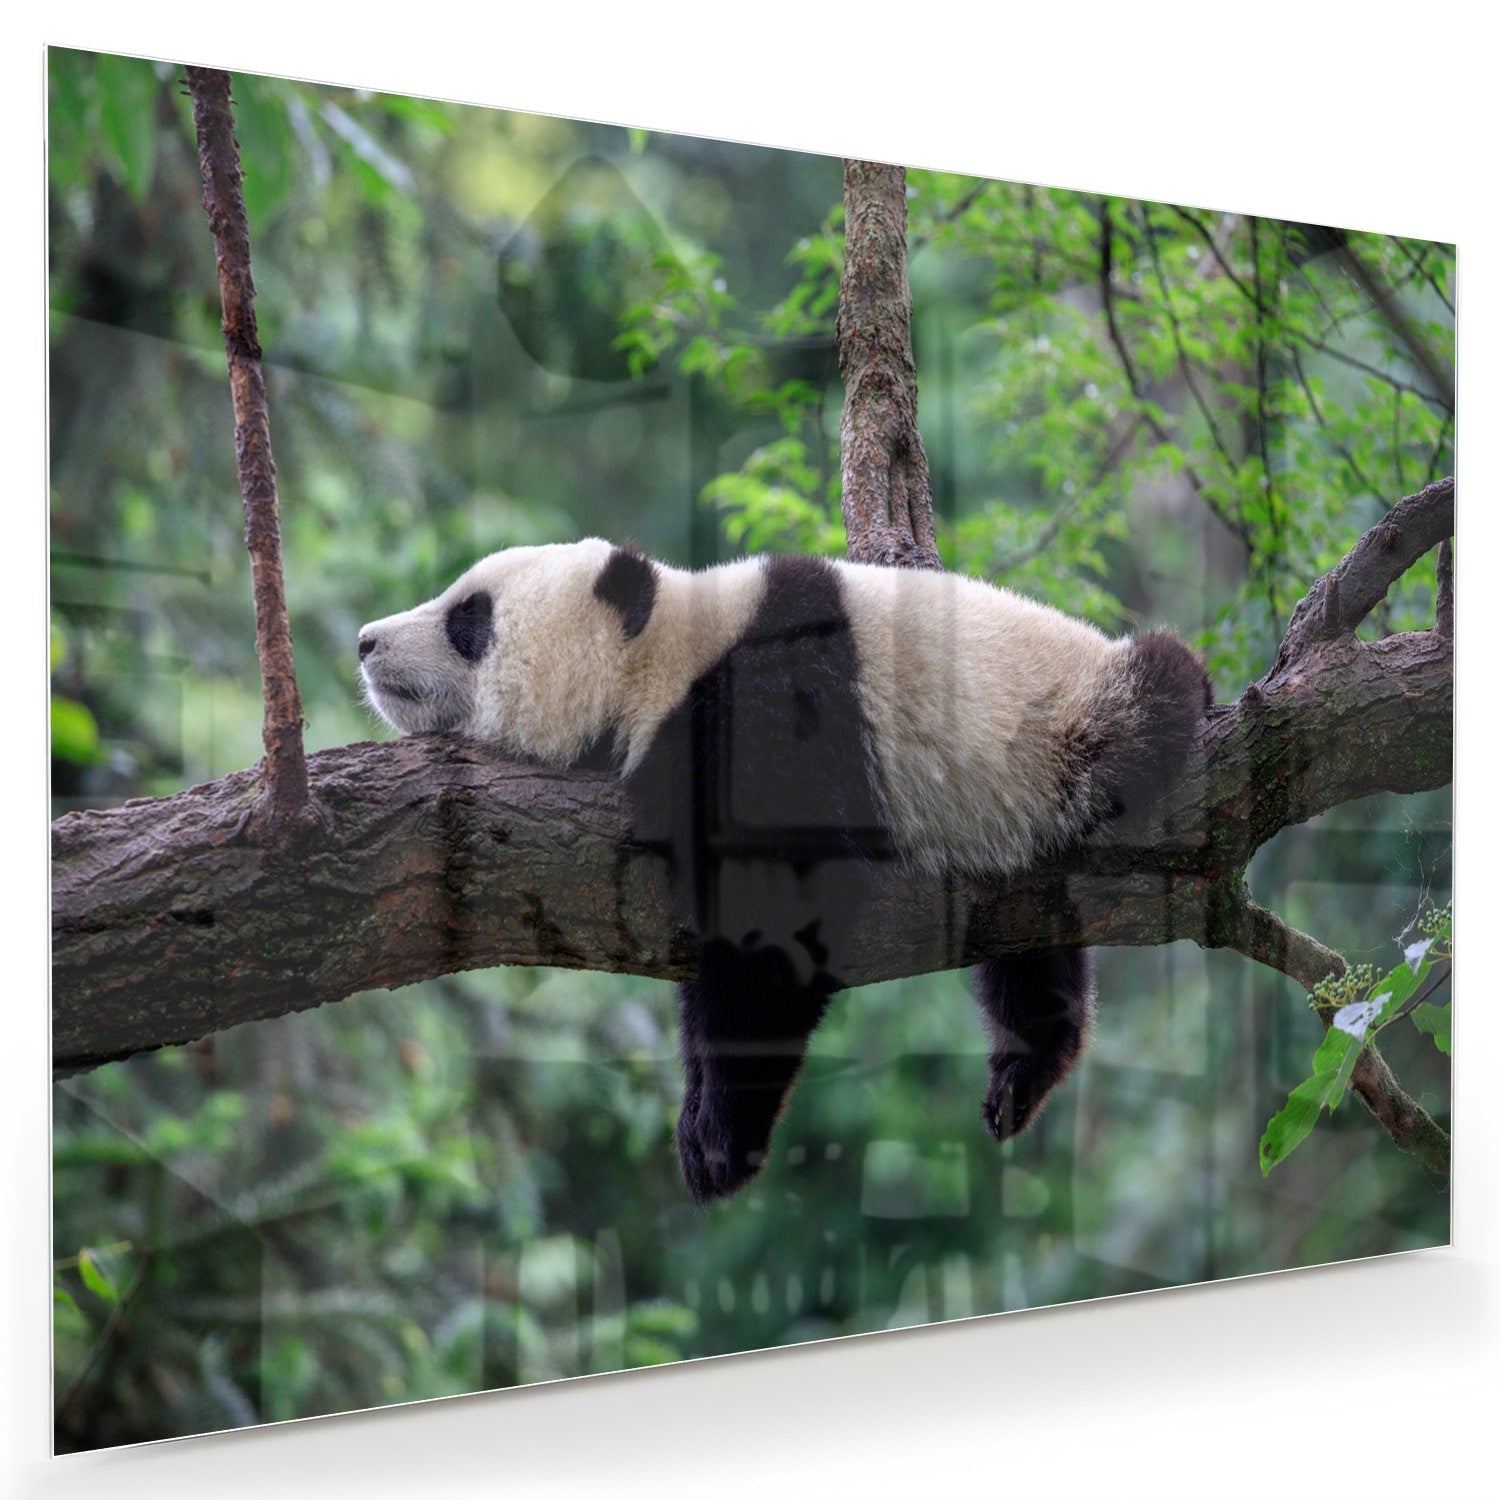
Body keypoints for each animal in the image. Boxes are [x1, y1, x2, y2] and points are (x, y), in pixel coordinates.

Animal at [358, 538, 1210, 1203]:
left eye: (469, 619)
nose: (366, 641)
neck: (663, 654)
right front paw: (699, 1119)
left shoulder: (770, 712)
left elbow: (777, 918)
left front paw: (720, 1138)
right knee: (1030, 943)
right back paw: (1024, 1070)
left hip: (1071, 729)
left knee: (1154, 694)